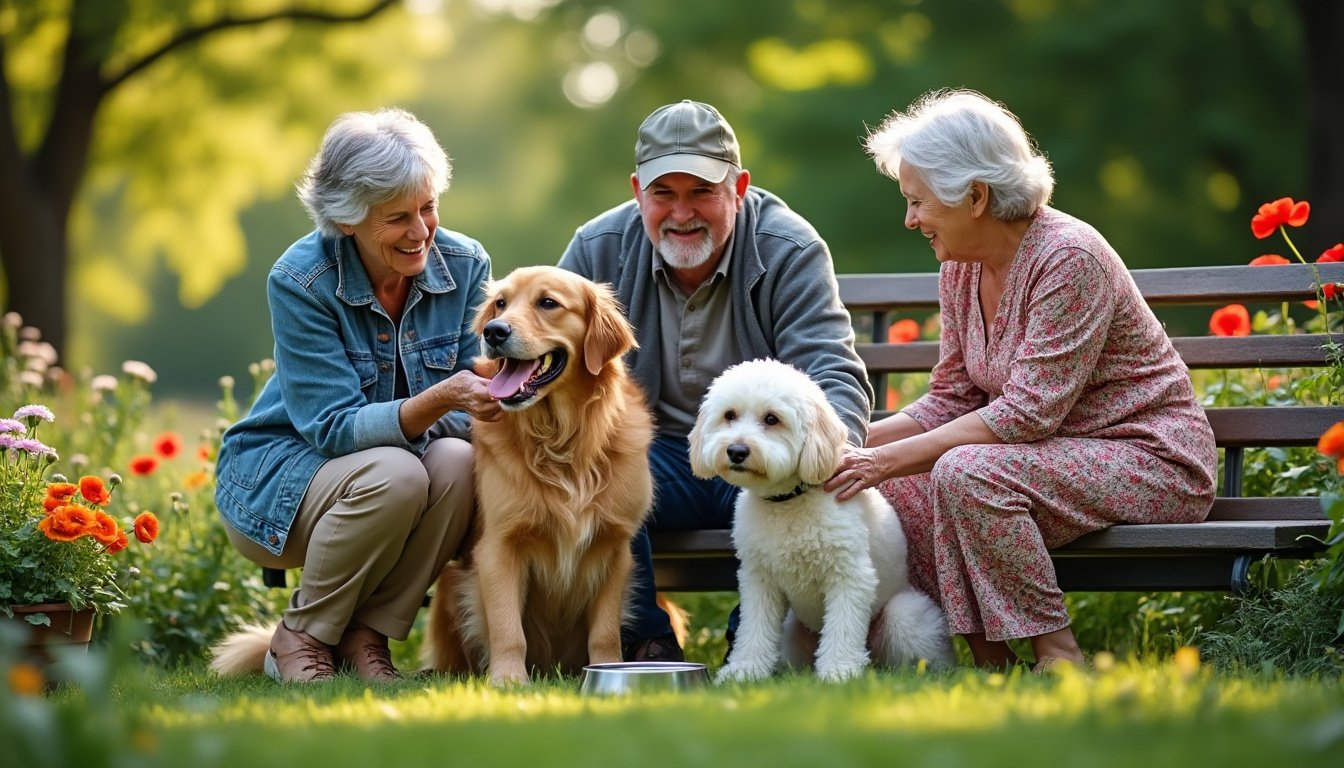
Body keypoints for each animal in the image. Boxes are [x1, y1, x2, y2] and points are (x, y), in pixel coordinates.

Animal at [693, 357, 956, 683]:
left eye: (771, 419)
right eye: (729, 415)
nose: (737, 451)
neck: (789, 501)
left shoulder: (849, 576)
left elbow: (842, 628)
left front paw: (839, 672)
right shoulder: (759, 581)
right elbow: (754, 630)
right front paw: (744, 671)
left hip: (903, 616)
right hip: (791, 631)